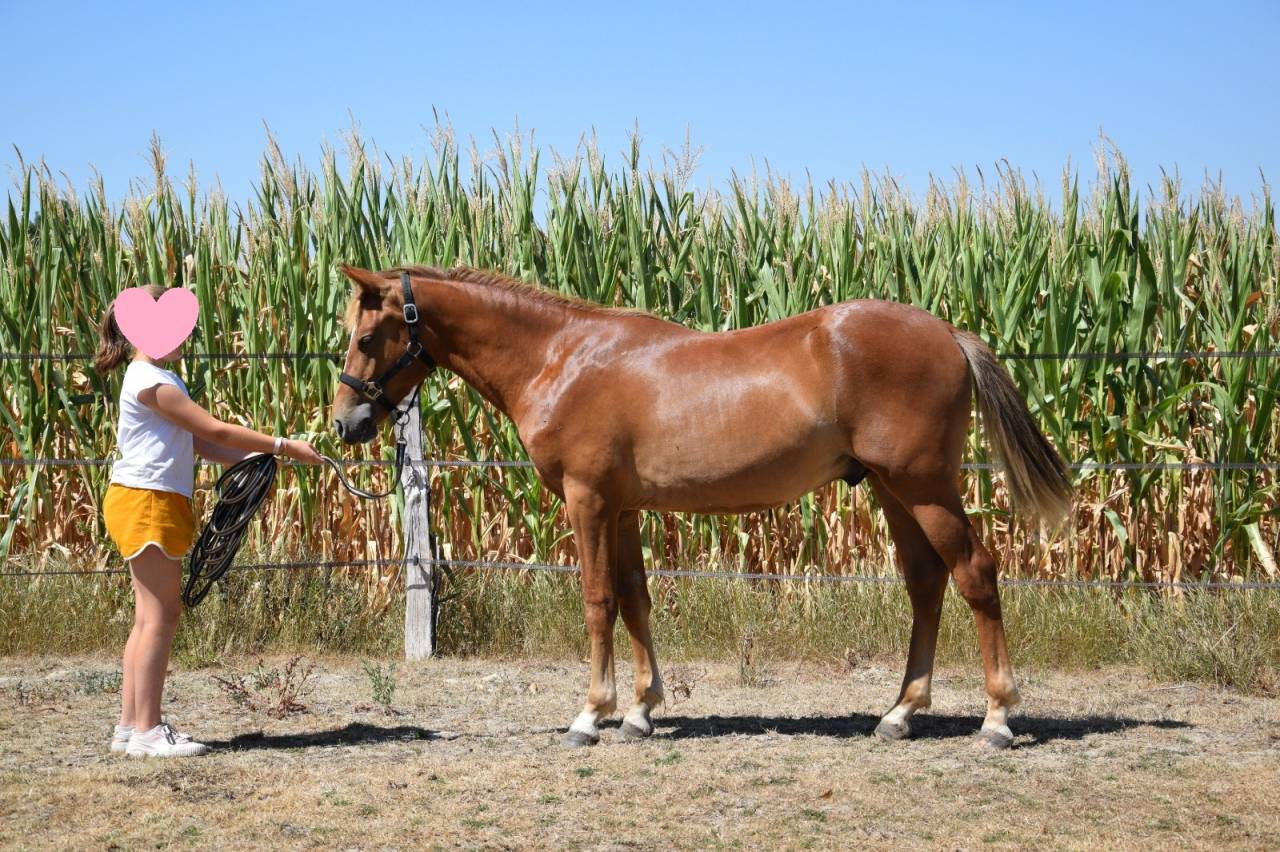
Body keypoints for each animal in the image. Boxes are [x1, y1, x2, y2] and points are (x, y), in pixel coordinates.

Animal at [331, 264, 1072, 749]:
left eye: (367, 338)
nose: (345, 424)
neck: (560, 356)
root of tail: (946, 333)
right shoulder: (623, 509)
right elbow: (635, 599)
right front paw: (640, 711)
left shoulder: (588, 500)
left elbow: (598, 600)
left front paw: (589, 716)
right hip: (895, 492)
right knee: (925, 583)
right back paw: (898, 714)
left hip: (924, 486)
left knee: (976, 573)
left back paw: (997, 720)